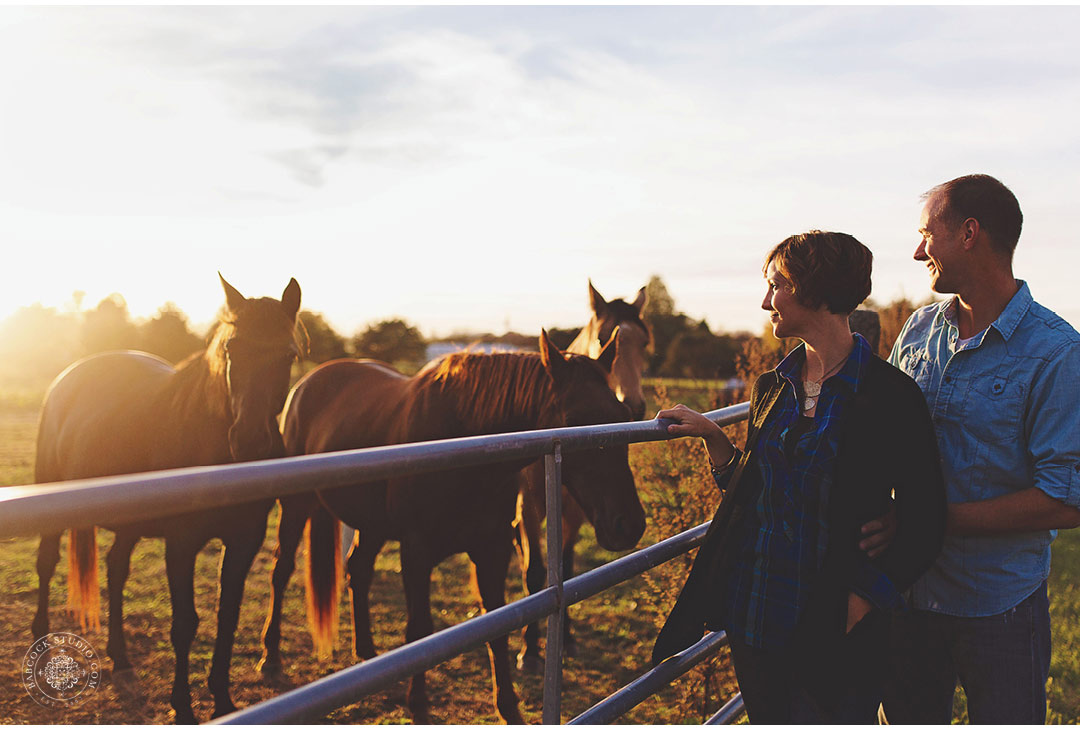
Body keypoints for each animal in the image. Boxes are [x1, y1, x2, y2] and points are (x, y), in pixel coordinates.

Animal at [33, 275, 302, 725]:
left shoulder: (245, 539)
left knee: (116, 569)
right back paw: (43, 644)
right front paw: (184, 708)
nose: (248, 441)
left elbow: (227, 616)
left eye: (288, 355)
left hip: (128, 522)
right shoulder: (181, 543)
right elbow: (185, 624)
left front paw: (223, 700)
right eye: (232, 349)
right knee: (46, 562)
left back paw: (122, 661)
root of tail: (68, 377)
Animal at [257, 330, 643, 725]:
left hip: (372, 524)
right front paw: (419, 706)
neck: (465, 449)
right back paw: (271, 657)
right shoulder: (416, 552)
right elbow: (420, 631)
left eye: (624, 416)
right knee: (282, 570)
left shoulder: (492, 550)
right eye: (575, 418)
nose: (628, 524)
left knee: (358, 569)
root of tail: (308, 381)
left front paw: (510, 710)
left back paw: (366, 653)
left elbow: (497, 626)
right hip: (296, 506)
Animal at [509, 280, 643, 673]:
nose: (635, 404)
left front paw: (565, 638)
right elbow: (535, 571)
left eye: (646, 344)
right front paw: (530, 650)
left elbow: (565, 569)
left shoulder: (576, 513)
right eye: (602, 335)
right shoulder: (530, 506)